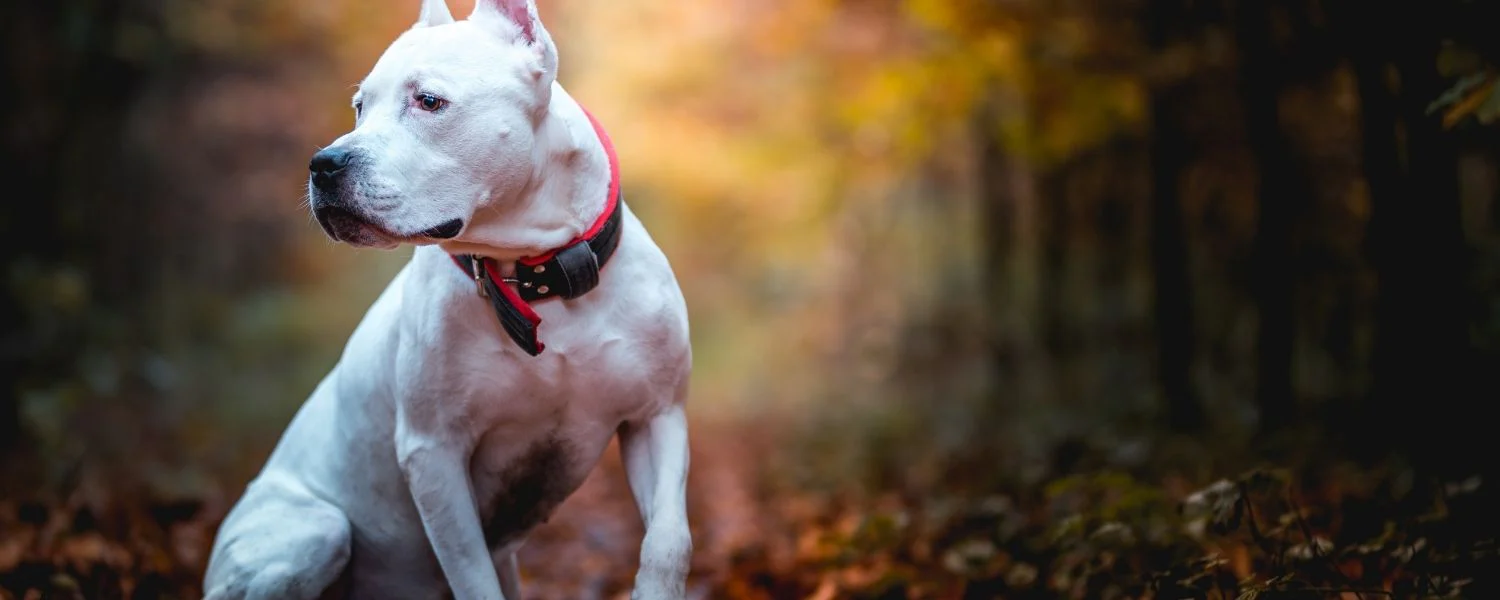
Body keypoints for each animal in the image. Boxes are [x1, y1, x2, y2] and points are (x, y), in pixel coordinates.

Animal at [202, 1, 693, 600]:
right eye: (360, 107)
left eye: (429, 101)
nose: (323, 163)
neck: (536, 278)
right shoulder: (434, 452)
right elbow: (468, 569)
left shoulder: (657, 417)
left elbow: (669, 540)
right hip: (313, 530)